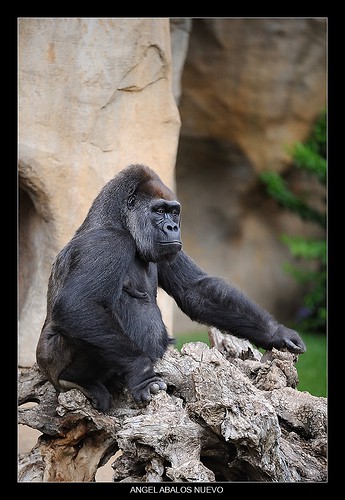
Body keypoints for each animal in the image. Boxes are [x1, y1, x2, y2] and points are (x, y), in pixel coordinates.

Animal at [36, 164, 306, 410]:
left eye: (174, 212)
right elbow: (79, 305)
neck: (120, 221)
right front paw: (142, 373)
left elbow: (194, 290)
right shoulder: (106, 242)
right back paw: (78, 380)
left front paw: (276, 333)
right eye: (159, 211)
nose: (173, 227)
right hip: (52, 366)